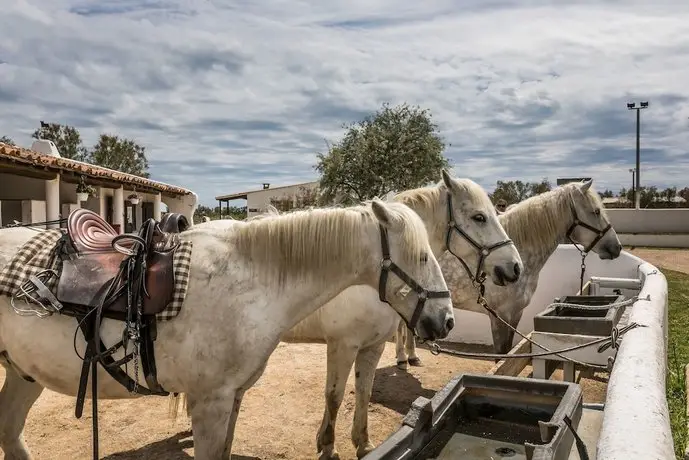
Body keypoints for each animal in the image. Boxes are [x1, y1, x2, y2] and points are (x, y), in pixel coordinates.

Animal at [396, 178, 620, 364]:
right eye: (596, 211)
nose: (616, 247)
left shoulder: (515, 314)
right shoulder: (500, 315)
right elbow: (501, 355)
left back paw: (410, 356)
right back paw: (403, 357)